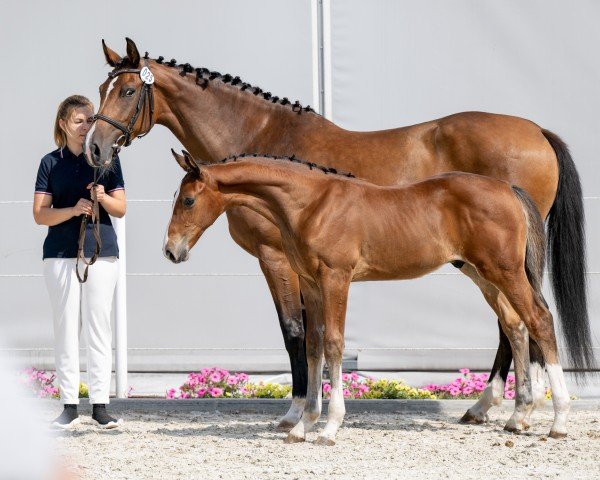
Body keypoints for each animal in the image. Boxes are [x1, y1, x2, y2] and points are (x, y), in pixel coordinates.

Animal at [165, 152, 576, 444]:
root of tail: (509, 189)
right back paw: (517, 418)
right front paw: (303, 426)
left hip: (504, 271)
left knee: (539, 319)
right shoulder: (311, 283)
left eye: (187, 201)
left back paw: (557, 421)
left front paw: (329, 428)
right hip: (483, 274)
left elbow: (334, 345)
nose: (171, 250)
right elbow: (313, 346)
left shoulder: (336, 278)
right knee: (515, 325)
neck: (311, 205)